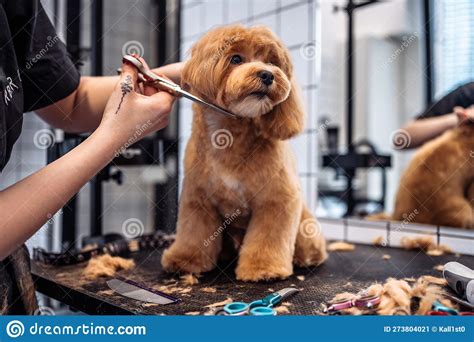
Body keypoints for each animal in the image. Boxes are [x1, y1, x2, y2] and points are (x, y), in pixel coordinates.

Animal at [161, 24, 328, 280]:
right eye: (236, 59)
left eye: (272, 62)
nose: (267, 75)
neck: (230, 137)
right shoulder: (197, 198)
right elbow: (194, 233)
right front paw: (185, 259)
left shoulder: (276, 199)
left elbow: (267, 238)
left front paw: (263, 268)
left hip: (305, 225)